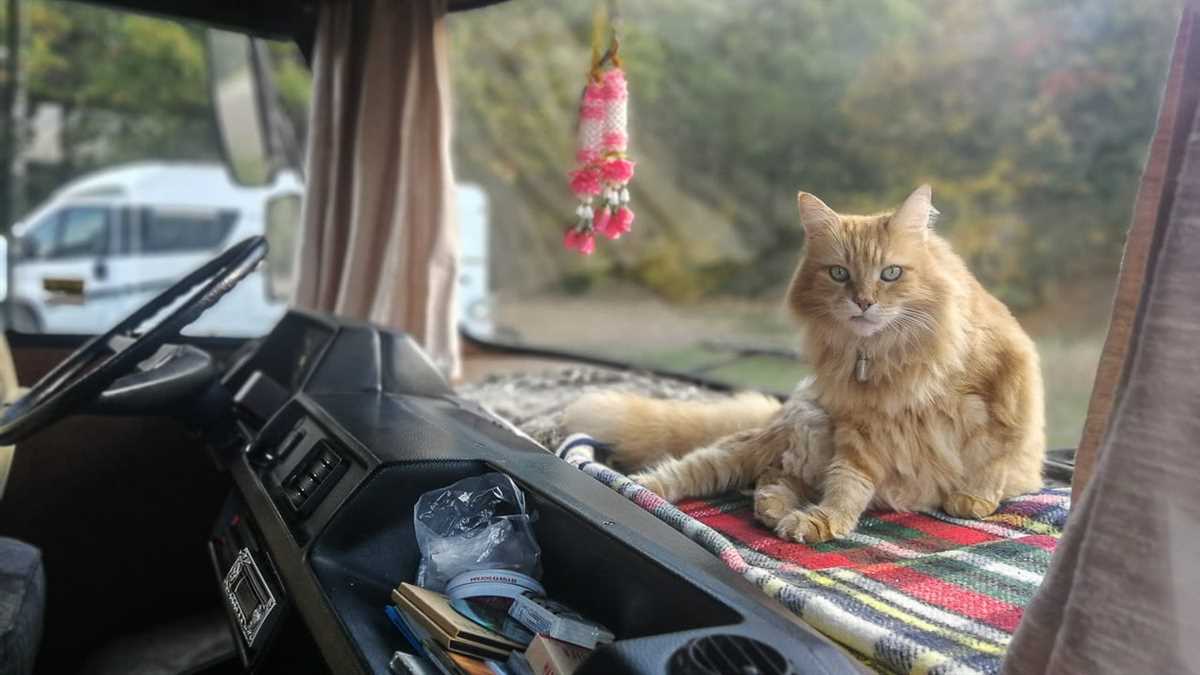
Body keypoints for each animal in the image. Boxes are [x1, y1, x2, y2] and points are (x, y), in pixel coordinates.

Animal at [561, 183, 1041, 540]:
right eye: (839, 274)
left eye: (890, 274)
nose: (863, 302)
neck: (889, 356)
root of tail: (782, 411)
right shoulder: (862, 426)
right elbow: (848, 484)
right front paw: (827, 520)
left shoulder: (1005, 386)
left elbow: (995, 455)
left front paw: (974, 499)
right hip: (775, 440)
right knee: (704, 468)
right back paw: (640, 488)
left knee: (769, 479)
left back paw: (776, 511)